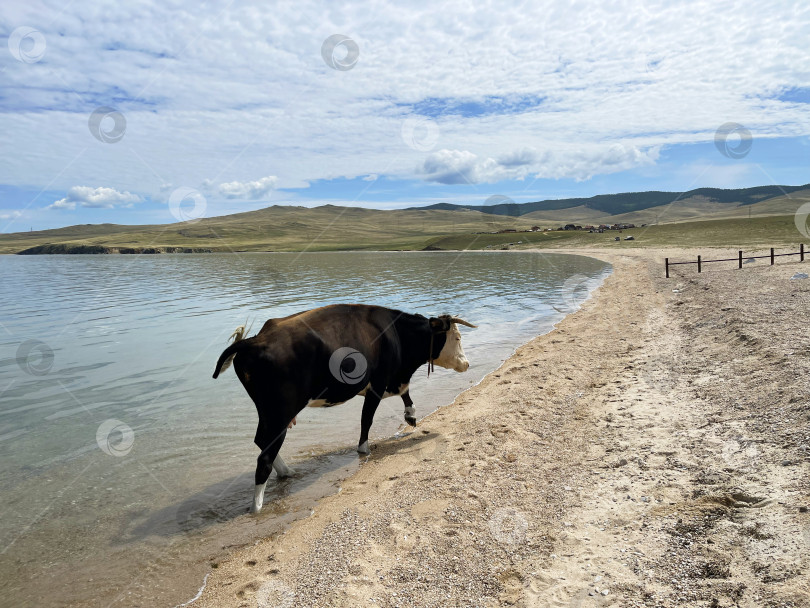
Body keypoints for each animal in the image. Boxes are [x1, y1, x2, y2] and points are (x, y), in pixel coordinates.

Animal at [211, 304, 474, 512]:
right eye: (457, 338)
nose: (467, 364)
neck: (397, 334)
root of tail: (254, 341)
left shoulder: (392, 379)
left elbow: (406, 394)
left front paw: (411, 416)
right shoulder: (378, 383)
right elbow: (367, 418)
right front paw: (363, 448)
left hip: (267, 412)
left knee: (262, 441)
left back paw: (286, 471)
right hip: (280, 411)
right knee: (264, 456)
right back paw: (257, 508)